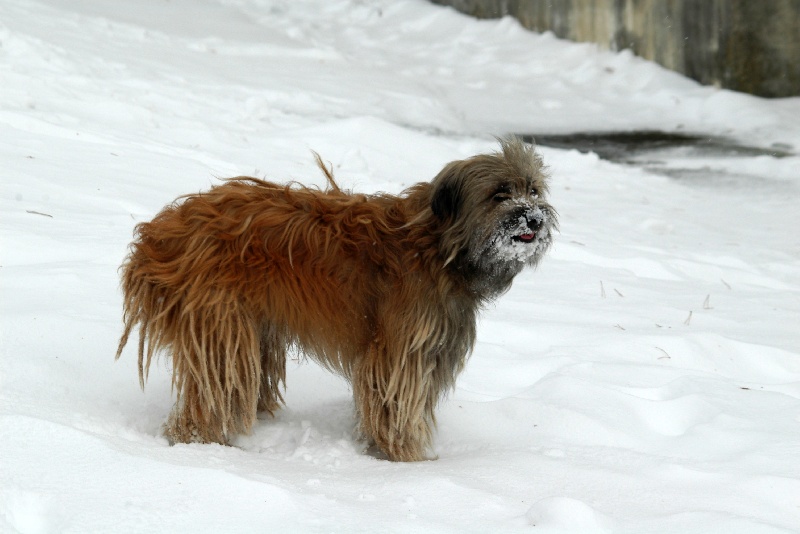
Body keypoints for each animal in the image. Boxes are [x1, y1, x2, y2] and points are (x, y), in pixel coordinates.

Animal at [117, 136, 556, 462]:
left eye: (533, 190)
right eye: (500, 194)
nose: (534, 218)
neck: (437, 246)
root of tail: (161, 234)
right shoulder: (401, 352)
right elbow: (396, 404)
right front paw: (407, 459)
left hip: (253, 328)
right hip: (221, 328)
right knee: (214, 393)